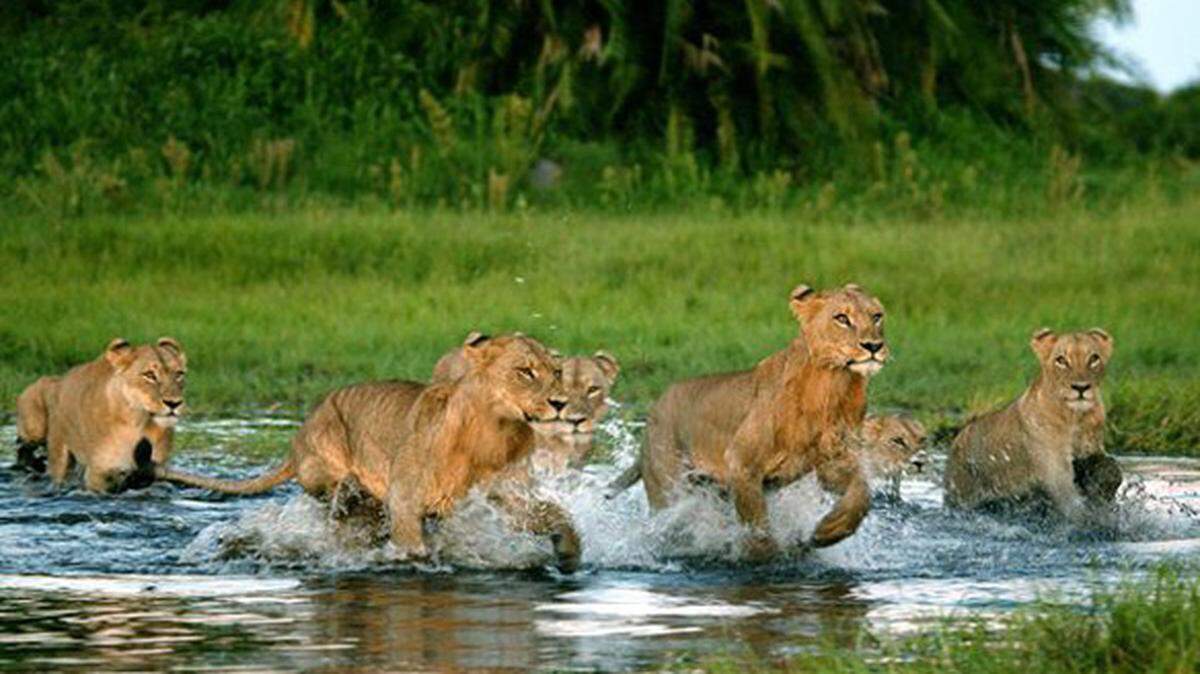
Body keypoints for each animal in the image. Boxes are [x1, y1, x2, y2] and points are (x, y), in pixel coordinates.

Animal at [15, 337, 187, 493]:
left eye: (179, 374)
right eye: (149, 375)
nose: (174, 403)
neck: (139, 422)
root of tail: (59, 379)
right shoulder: (98, 471)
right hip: (37, 429)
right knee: (25, 447)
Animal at [631, 283, 888, 558]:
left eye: (876, 316)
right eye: (841, 318)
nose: (874, 346)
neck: (833, 387)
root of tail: (654, 410)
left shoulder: (832, 463)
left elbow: (861, 493)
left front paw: (829, 530)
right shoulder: (742, 464)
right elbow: (757, 524)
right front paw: (766, 556)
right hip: (669, 488)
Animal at [944, 328, 1120, 518]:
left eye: (1094, 358)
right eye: (1061, 360)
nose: (1081, 387)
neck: (1075, 418)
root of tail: (959, 437)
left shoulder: (1093, 449)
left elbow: (1113, 468)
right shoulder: (1054, 468)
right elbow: (1070, 500)